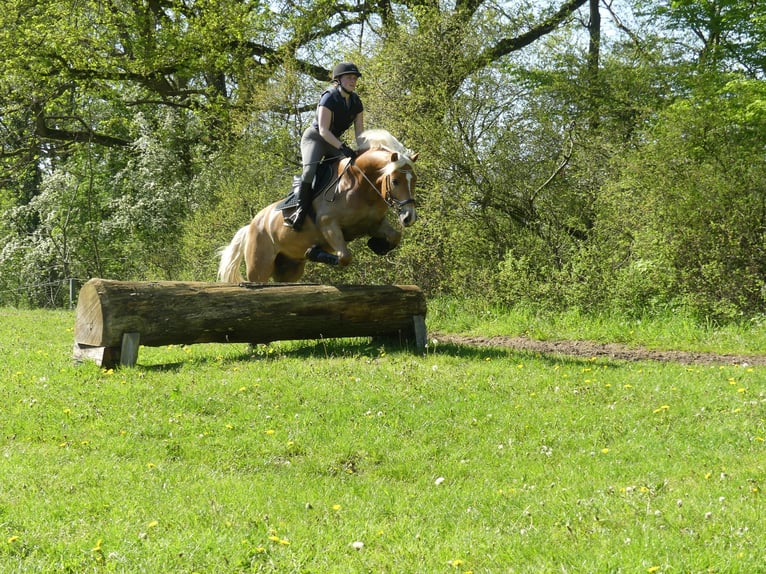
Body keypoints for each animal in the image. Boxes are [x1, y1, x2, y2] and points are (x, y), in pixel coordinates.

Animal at [216, 130, 420, 284]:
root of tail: (251, 225)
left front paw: (377, 246)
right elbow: (345, 256)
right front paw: (314, 252)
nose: (409, 217)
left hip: (289, 267)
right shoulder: (328, 224)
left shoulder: (373, 223)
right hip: (259, 266)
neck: (360, 186)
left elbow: (395, 236)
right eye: (395, 181)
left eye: (414, 180)